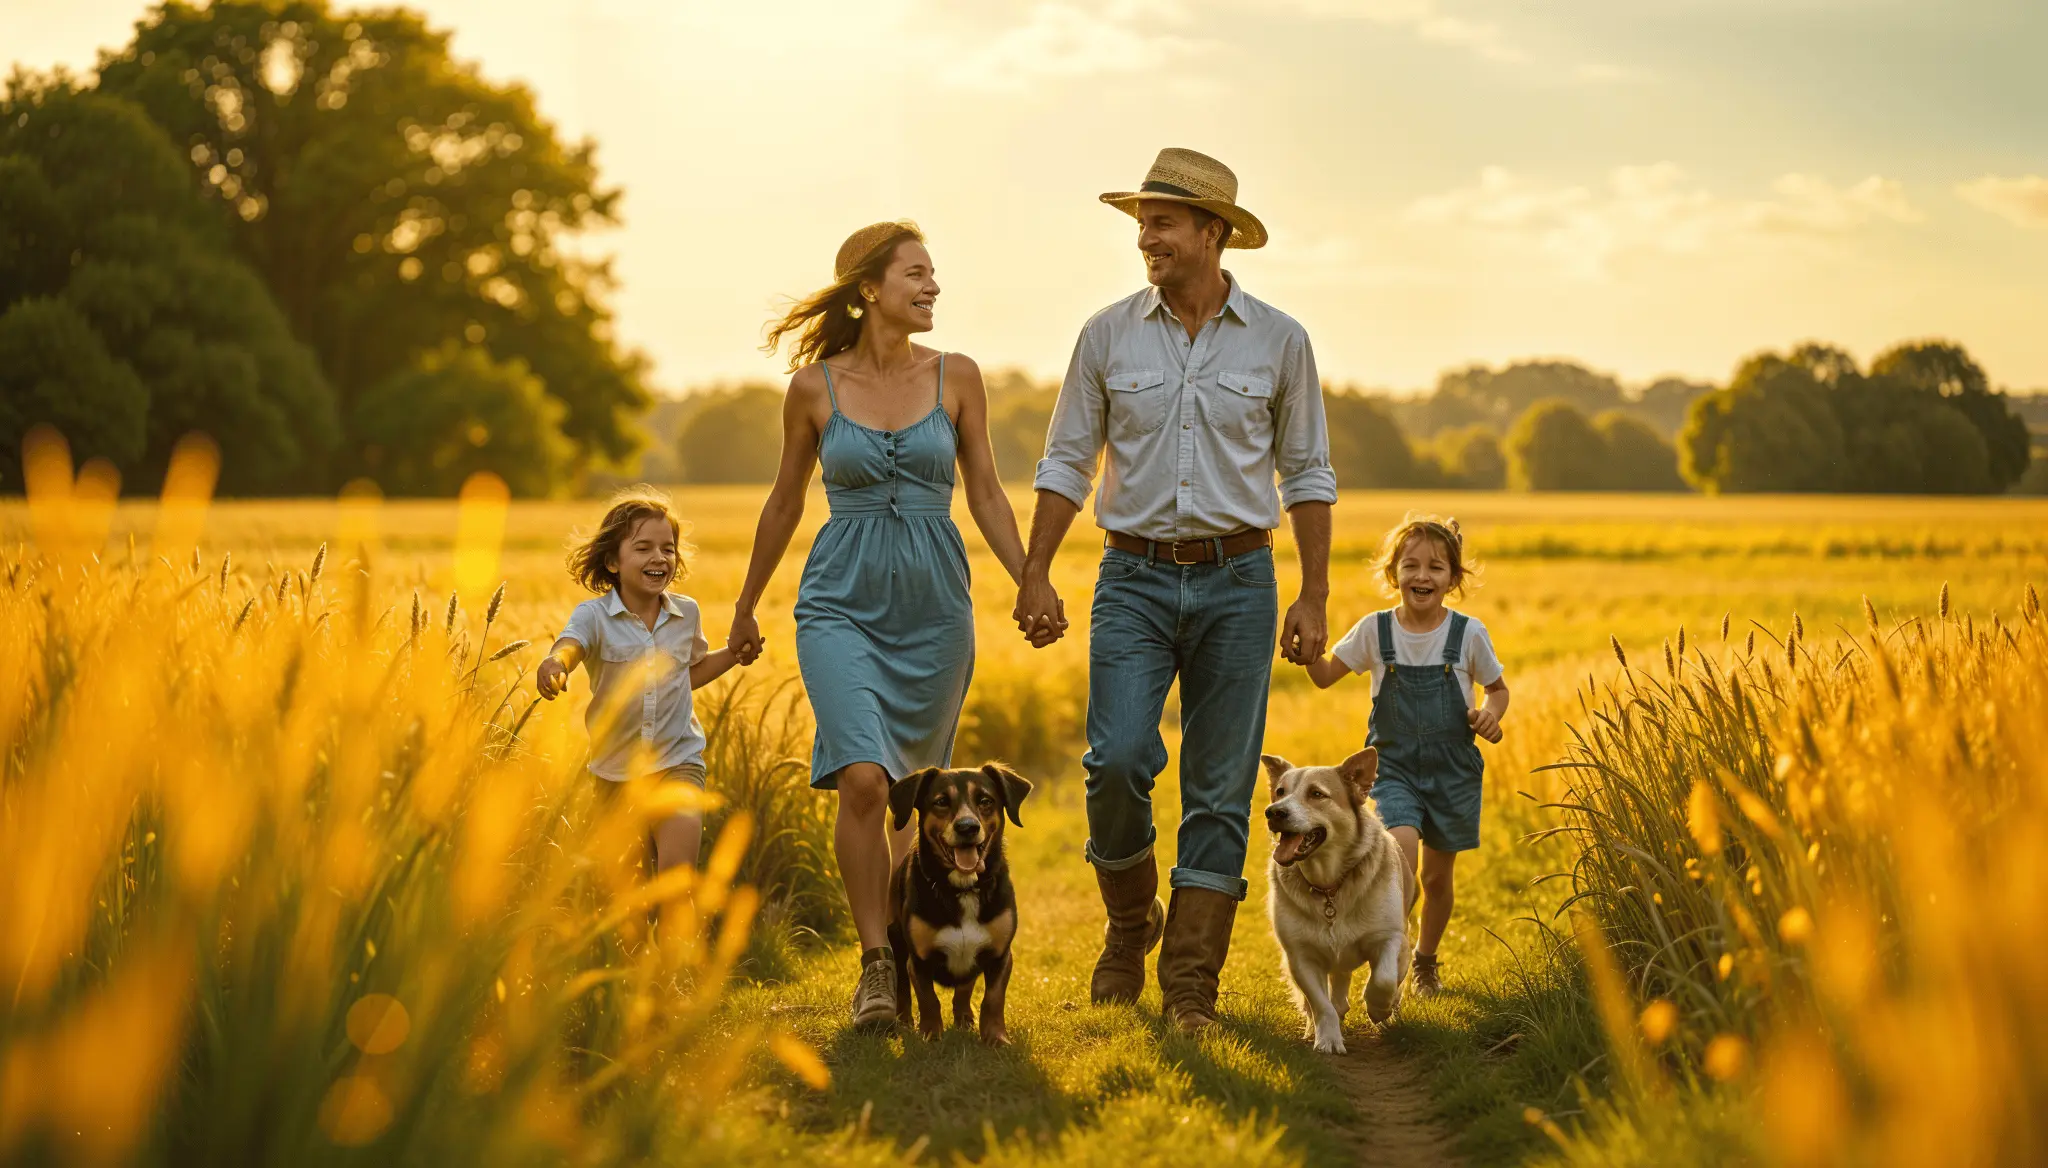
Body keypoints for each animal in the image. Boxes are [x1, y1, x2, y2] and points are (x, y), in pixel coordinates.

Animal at [888, 758, 1032, 1040]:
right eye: (941, 801)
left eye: (985, 800)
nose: (967, 827)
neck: (964, 888)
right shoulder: (918, 960)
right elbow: (928, 999)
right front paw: (931, 1035)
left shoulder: (1000, 955)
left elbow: (993, 999)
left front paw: (995, 1037)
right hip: (895, 939)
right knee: (901, 986)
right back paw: (904, 1020)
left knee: (964, 988)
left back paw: (964, 1017)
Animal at [1261, 749, 1409, 1049]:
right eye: (1280, 792)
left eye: (1317, 794)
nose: (1274, 812)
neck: (1329, 885)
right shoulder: (1300, 955)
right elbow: (1321, 1004)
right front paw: (1327, 1039)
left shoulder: (1391, 938)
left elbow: (1385, 979)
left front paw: (1379, 1008)